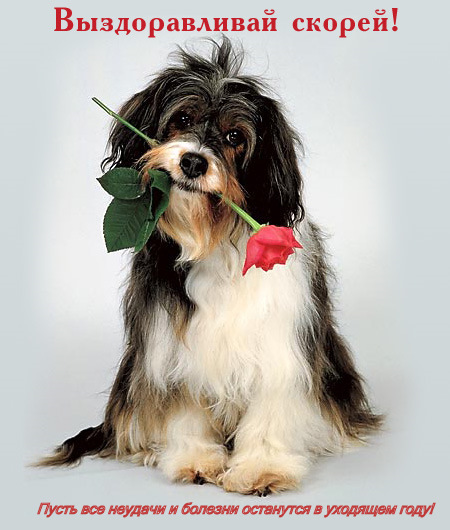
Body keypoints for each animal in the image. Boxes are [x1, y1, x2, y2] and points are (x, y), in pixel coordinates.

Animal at [38, 37, 382, 495]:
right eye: (183, 118)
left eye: (235, 136)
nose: (193, 161)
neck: (213, 242)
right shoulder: (171, 347)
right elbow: (185, 406)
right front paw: (196, 459)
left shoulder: (279, 346)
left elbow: (270, 410)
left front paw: (261, 468)